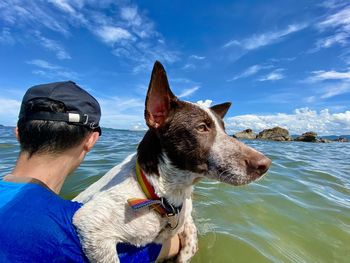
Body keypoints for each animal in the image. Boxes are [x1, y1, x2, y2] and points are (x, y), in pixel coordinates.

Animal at [72, 60, 272, 262]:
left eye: (224, 130)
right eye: (202, 127)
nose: (266, 165)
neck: (161, 195)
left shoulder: (185, 218)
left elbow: (190, 241)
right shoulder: (92, 229)